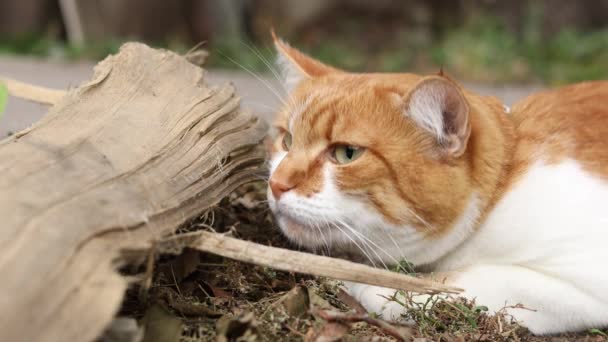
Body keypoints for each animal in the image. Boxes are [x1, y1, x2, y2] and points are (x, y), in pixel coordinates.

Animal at [266, 33, 608, 336]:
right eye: (287, 140)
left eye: (346, 153)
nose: (276, 183)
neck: (501, 188)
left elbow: (452, 282)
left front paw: (357, 282)